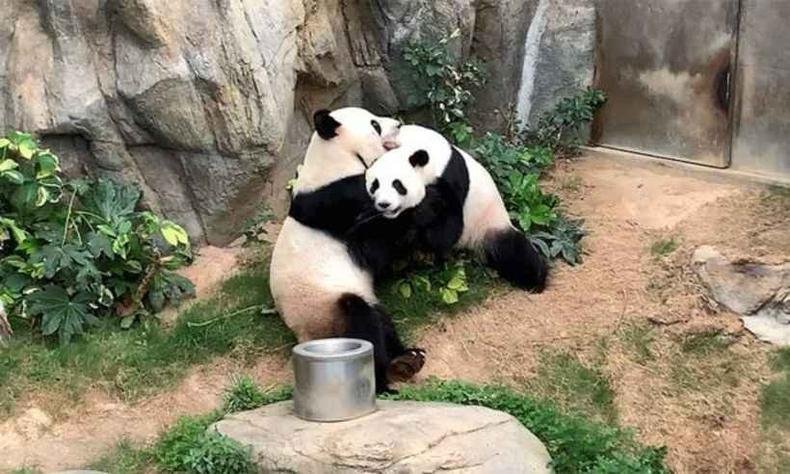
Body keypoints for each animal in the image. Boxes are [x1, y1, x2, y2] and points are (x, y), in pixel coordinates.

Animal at [269, 107, 425, 393]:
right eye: (375, 125)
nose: (398, 124)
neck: (335, 160)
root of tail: (303, 336)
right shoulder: (337, 202)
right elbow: (373, 245)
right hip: (325, 309)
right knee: (362, 322)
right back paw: (382, 379)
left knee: (381, 319)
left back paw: (406, 359)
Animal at [365, 124, 548, 291]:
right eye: (375, 185)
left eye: (397, 185)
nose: (384, 204)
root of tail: (470, 246)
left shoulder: (451, 178)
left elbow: (447, 230)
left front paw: (422, 214)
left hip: (489, 224)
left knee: (513, 251)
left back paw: (536, 280)